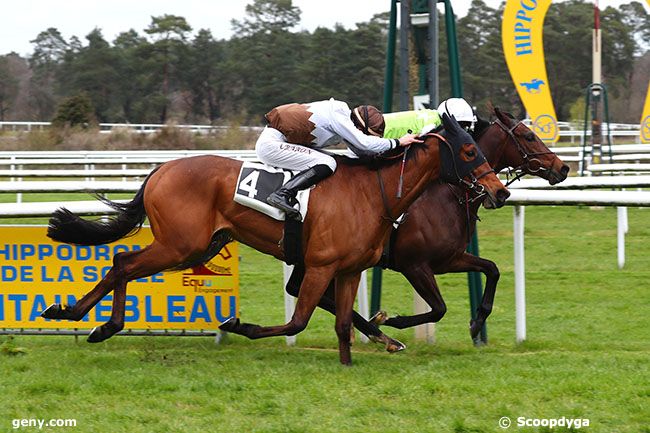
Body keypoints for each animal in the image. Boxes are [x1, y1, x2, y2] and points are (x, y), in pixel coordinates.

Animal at [40, 113, 508, 362]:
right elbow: (299, 319)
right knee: (123, 264)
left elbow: (340, 321)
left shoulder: (351, 268)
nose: (499, 191)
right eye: (469, 151)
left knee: (123, 266)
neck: (375, 191)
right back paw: (89, 320)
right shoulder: (325, 264)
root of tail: (161, 169)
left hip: (195, 245)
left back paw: (84, 318)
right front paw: (239, 324)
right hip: (180, 244)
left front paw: (356, 357)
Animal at [284, 107, 568, 352]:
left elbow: (492, 269)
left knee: (300, 290)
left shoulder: (449, 259)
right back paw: (376, 332)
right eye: (529, 136)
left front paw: (477, 322)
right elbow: (439, 308)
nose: (563, 167)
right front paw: (390, 320)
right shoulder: (414, 265)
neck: (447, 194)